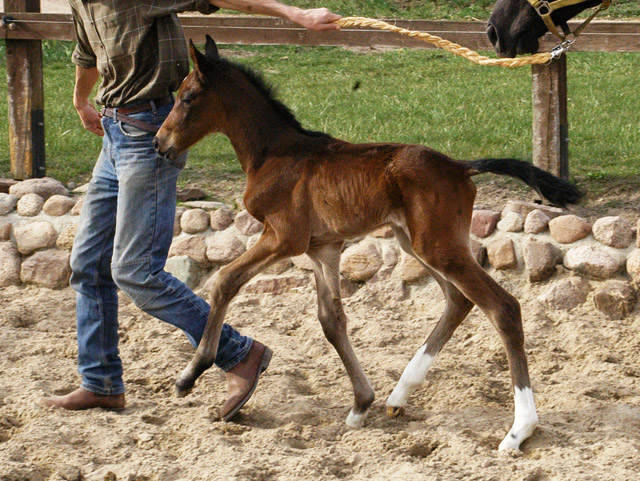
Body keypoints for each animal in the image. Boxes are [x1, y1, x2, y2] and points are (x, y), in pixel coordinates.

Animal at [154, 37, 580, 450]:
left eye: (187, 97)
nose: (159, 143)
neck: (274, 154)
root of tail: (460, 166)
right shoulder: (322, 248)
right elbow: (331, 320)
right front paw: (361, 403)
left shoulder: (283, 237)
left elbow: (225, 280)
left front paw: (189, 375)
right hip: (417, 243)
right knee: (459, 301)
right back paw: (399, 395)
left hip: (436, 246)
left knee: (502, 307)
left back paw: (519, 430)